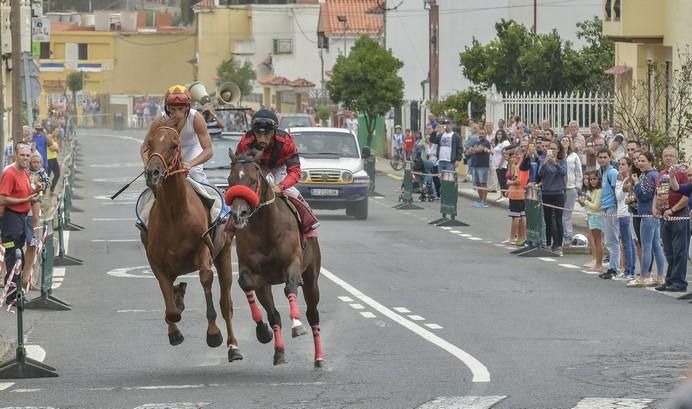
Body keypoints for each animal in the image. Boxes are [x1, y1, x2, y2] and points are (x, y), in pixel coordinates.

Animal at [140, 117, 243, 360]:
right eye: (150, 143)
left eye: (174, 145)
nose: (153, 173)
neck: (174, 213)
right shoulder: (156, 260)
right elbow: (169, 302)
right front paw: (174, 330)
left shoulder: (203, 249)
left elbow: (206, 278)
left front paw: (213, 333)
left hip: (224, 254)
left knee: (226, 303)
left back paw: (233, 347)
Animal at [224, 149, 328, 366]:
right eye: (230, 180)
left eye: (253, 179)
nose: (238, 214)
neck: (266, 229)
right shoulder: (254, 273)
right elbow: (246, 284)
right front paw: (263, 331)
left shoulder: (293, 263)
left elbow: (290, 287)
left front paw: (297, 324)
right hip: (266, 285)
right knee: (274, 315)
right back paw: (279, 351)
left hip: (312, 276)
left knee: (312, 313)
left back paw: (319, 358)